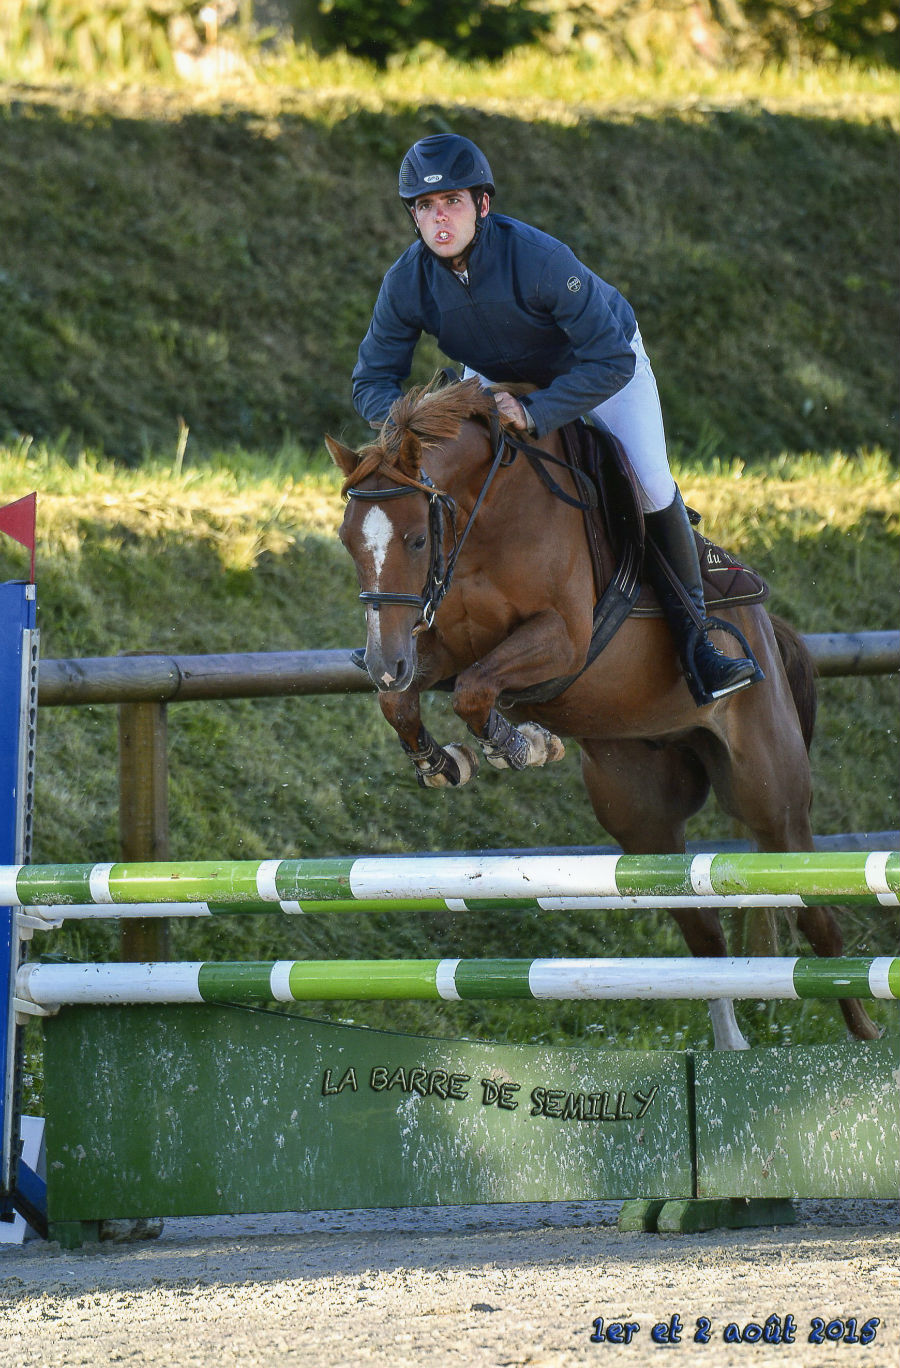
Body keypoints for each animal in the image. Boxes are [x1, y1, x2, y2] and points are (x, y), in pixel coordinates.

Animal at [324, 377, 875, 1045]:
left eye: (417, 539)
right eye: (349, 541)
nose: (383, 661)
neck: (485, 520)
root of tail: (765, 624)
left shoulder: (562, 641)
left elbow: (476, 690)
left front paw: (521, 744)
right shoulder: (434, 646)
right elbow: (404, 701)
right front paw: (444, 761)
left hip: (771, 798)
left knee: (817, 916)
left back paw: (865, 1040)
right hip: (642, 814)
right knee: (704, 933)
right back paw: (731, 1046)